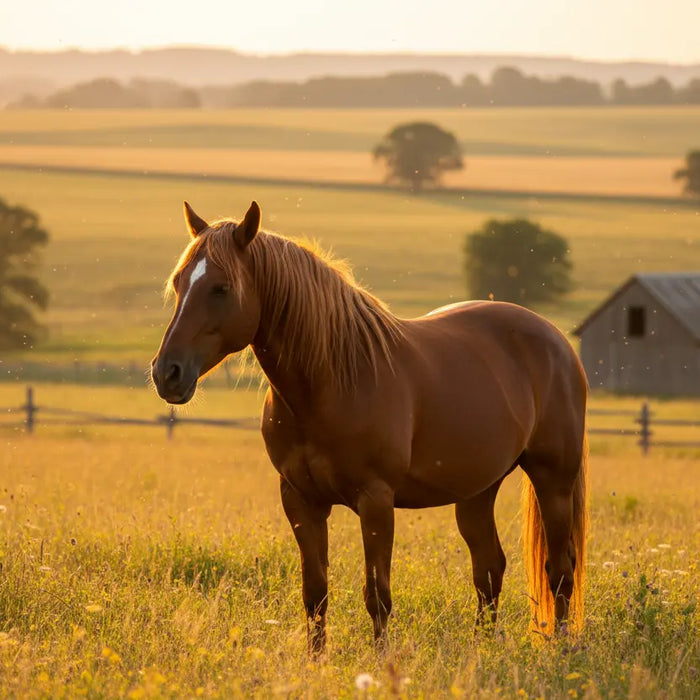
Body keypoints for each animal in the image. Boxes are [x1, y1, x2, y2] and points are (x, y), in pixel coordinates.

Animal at [151, 201, 589, 654]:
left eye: (220, 288)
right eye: (179, 283)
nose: (167, 373)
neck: (332, 381)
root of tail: (556, 339)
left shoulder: (376, 500)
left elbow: (377, 595)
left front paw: (381, 661)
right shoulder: (300, 500)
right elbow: (315, 592)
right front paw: (316, 661)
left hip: (553, 480)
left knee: (559, 570)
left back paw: (561, 646)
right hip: (477, 491)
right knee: (489, 567)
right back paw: (480, 647)